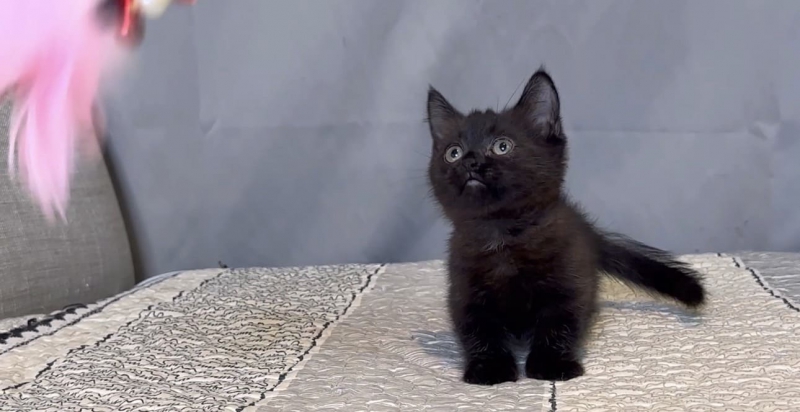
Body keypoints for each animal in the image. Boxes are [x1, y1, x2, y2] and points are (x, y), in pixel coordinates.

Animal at [425, 67, 706, 386]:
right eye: (453, 152)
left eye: (502, 146)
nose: (470, 162)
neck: (503, 235)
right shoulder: (464, 289)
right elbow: (478, 329)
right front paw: (490, 367)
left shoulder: (571, 282)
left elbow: (560, 323)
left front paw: (551, 363)